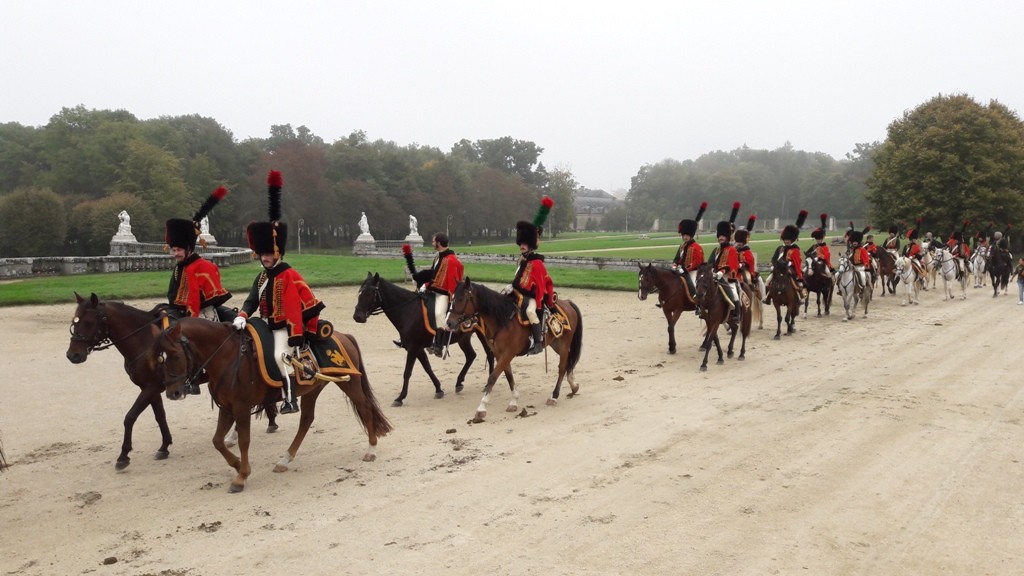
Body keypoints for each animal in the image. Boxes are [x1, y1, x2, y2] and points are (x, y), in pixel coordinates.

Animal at [66, 291, 278, 467]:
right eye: (74, 322)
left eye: (88, 322)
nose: (72, 355)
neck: (143, 339)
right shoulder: (152, 388)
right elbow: (160, 416)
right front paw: (164, 446)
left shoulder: (151, 387)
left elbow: (130, 417)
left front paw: (123, 455)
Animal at [148, 315, 391, 491]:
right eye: (159, 358)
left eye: (175, 356)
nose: (173, 392)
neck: (227, 356)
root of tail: (344, 335)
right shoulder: (227, 408)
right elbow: (217, 441)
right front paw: (238, 464)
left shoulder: (241, 407)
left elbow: (244, 440)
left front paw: (242, 475)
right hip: (312, 389)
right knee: (306, 420)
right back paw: (285, 459)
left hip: (350, 384)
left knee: (365, 408)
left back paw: (371, 448)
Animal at [350, 270, 497, 405]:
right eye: (360, 292)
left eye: (369, 293)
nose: (357, 316)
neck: (409, 310)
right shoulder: (417, 348)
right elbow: (427, 368)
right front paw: (438, 389)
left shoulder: (413, 348)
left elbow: (407, 372)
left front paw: (400, 397)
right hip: (463, 338)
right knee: (471, 355)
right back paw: (459, 382)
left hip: (482, 335)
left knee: (489, 355)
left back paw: (488, 385)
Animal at [442, 276, 581, 420]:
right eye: (452, 298)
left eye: (461, 299)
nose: (448, 323)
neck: (502, 319)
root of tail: (567, 303)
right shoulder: (499, 354)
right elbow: (508, 375)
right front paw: (514, 401)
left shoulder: (508, 353)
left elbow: (493, 377)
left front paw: (481, 408)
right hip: (555, 344)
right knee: (569, 363)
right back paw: (573, 385)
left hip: (564, 343)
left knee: (562, 367)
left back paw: (554, 396)